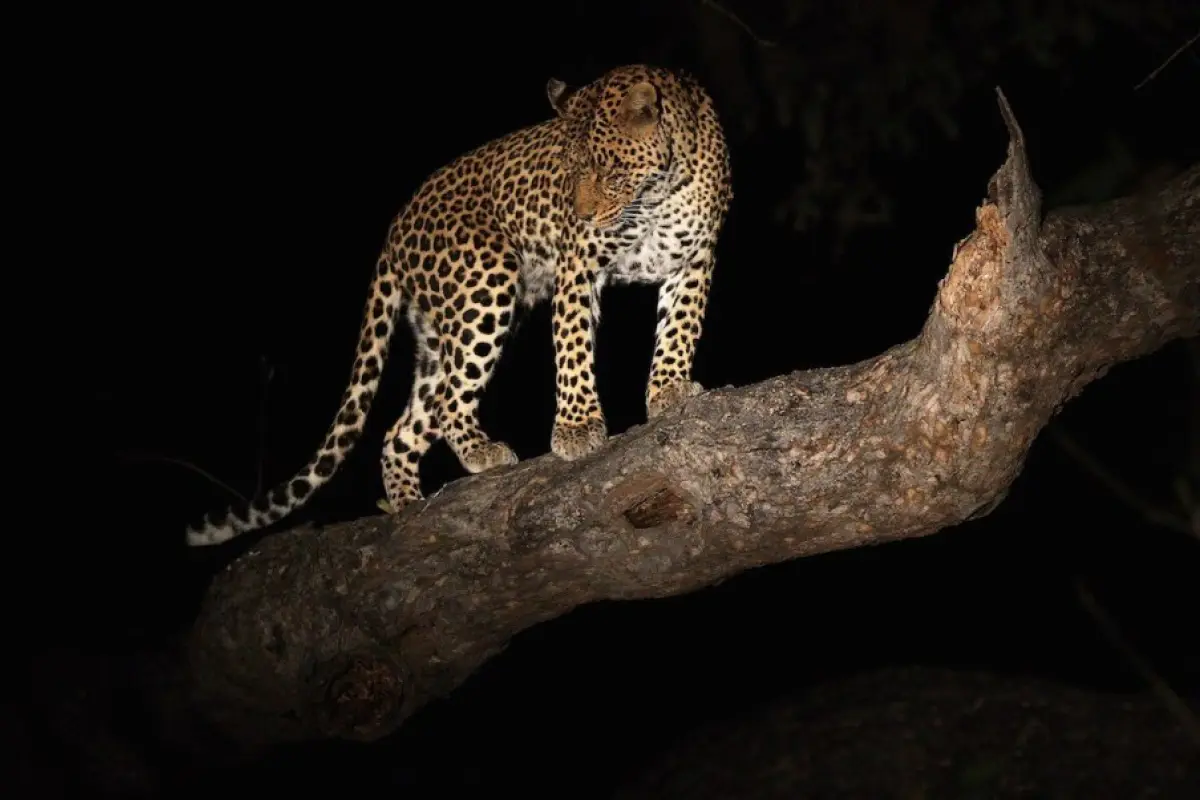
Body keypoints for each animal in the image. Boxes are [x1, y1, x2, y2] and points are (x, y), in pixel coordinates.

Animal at [184, 65, 729, 546]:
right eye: (568, 172)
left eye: (609, 170)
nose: (581, 214)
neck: (658, 195)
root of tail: (395, 230)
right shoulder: (577, 265)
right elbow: (573, 348)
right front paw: (577, 428)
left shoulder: (695, 257)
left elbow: (680, 328)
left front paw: (669, 389)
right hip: (485, 285)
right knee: (448, 403)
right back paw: (479, 452)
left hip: (437, 334)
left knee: (401, 430)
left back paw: (408, 506)